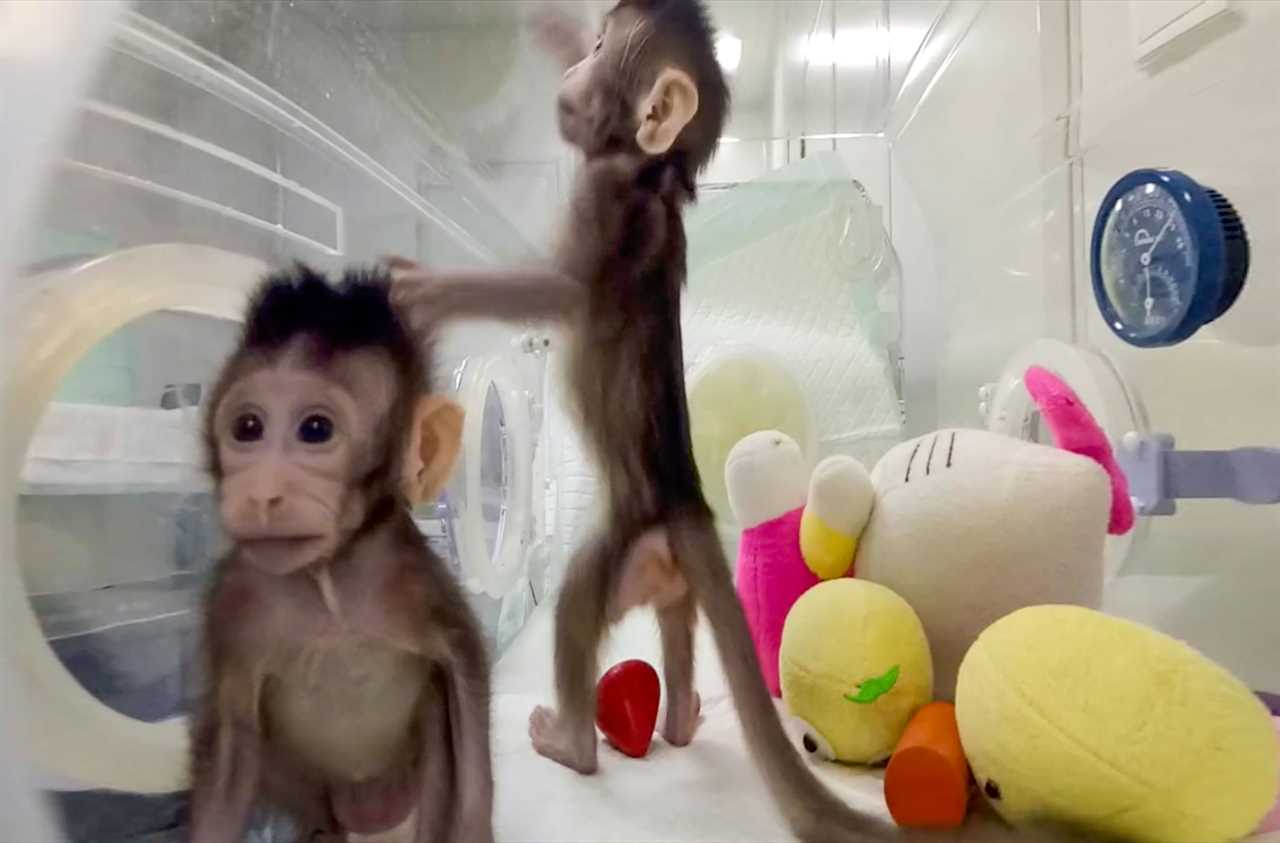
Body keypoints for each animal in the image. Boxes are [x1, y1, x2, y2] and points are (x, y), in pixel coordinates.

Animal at [187, 264, 493, 843]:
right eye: (248, 428)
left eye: (315, 430)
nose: (262, 494)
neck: (329, 580)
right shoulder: (231, 605)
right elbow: (232, 746)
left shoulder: (417, 580)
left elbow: (465, 682)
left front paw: (475, 826)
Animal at [388, 2, 1099, 841]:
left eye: (603, 53)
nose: (574, 67)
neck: (653, 178)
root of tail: (687, 503)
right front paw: (545, 26)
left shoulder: (605, 210)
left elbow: (555, 293)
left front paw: (425, 290)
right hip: (670, 575)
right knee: (676, 632)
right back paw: (682, 716)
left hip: (617, 550)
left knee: (576, 608)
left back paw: (572, 742)